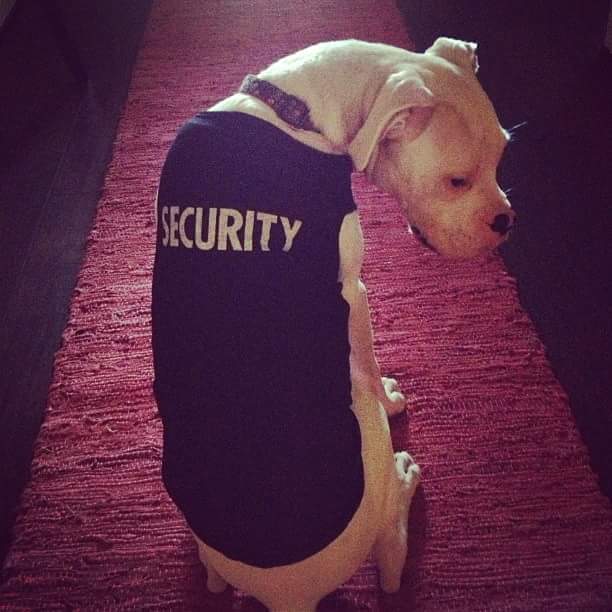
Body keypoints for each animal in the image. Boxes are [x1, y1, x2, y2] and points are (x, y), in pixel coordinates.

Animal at [152, 37, 512, 612]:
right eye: (456, 181)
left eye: (503, 153)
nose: (507, 222)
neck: (291, 108)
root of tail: (284, 595)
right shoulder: (354, 293)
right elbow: (369, 359)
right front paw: (393, 397)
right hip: (370, 444)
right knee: (391, 560)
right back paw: (403, 487)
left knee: (212, 577)